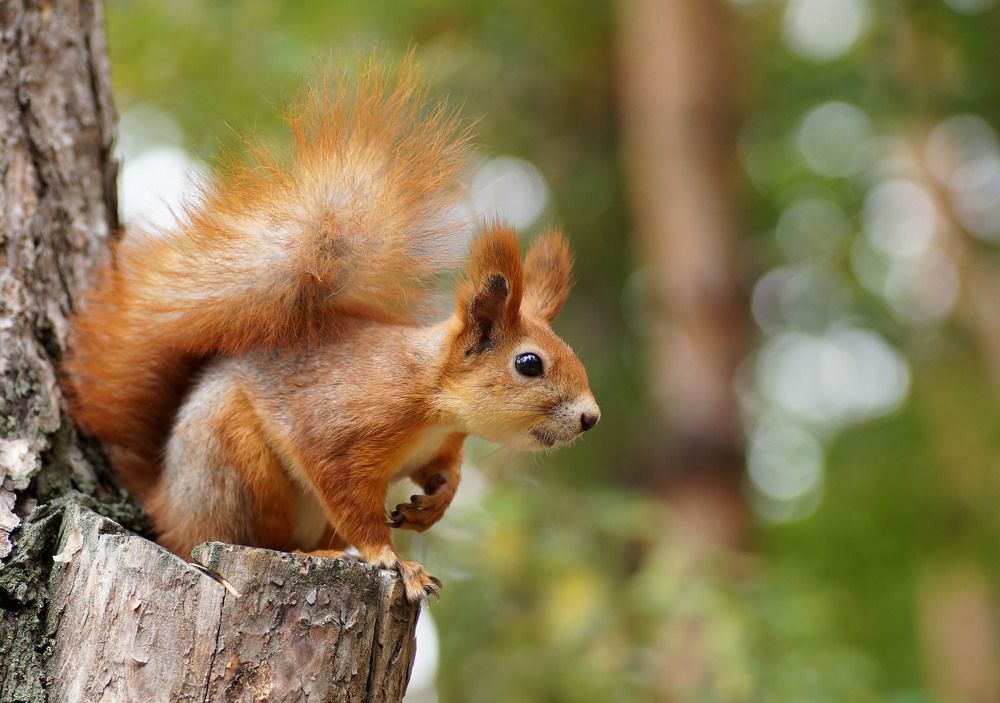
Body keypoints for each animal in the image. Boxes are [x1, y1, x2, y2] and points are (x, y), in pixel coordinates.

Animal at [64, 57, 600, 602]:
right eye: (529, 363)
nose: (590, 418)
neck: (434, 399)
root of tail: (165, 502)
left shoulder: (441, 447)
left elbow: (444, 476)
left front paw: (430, 508)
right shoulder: (342, 432)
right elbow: (350, 500)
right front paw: (394, 560)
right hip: (237, 466)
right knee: (253, 535)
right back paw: (317, 555)